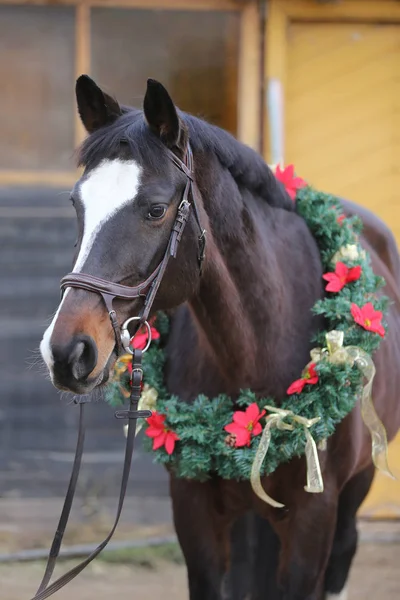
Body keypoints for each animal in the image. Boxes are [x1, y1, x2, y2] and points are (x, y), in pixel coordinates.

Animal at [39, 76, 400, 600]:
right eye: (76, 203)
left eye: (156, 209)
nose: (67, 353)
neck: (258, 349)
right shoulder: (194, 514)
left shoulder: (315, 517)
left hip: (358, 489)